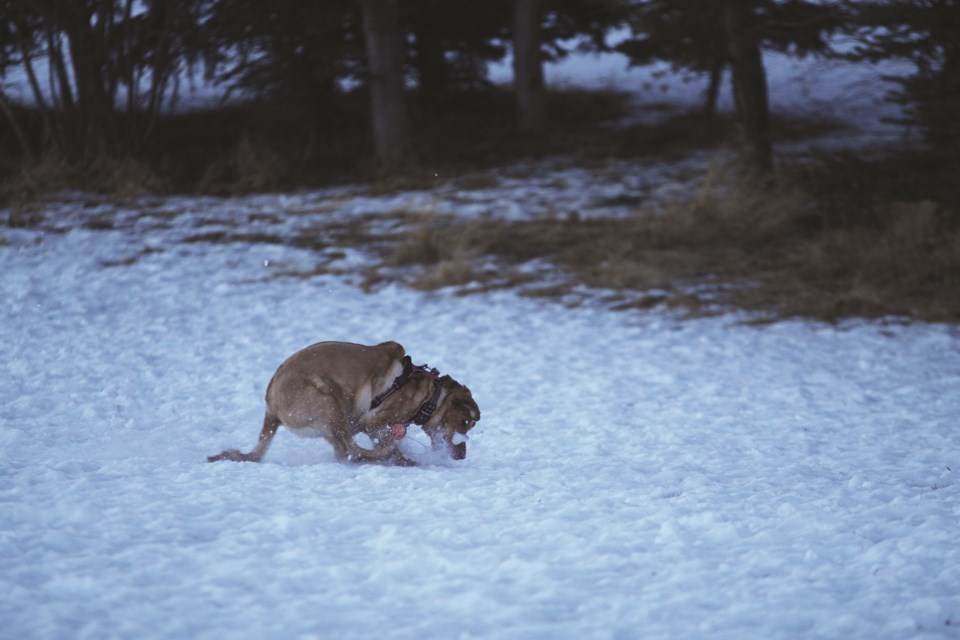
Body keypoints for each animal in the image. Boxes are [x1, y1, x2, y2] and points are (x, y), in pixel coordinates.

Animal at [209, 340, 480, 464]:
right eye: (465, 423)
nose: (463, 455)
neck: (431, 396)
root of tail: (271, 407)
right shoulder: (373, 421)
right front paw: (399, 455)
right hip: (328, 399)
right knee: (349, 449)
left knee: (344, 449)